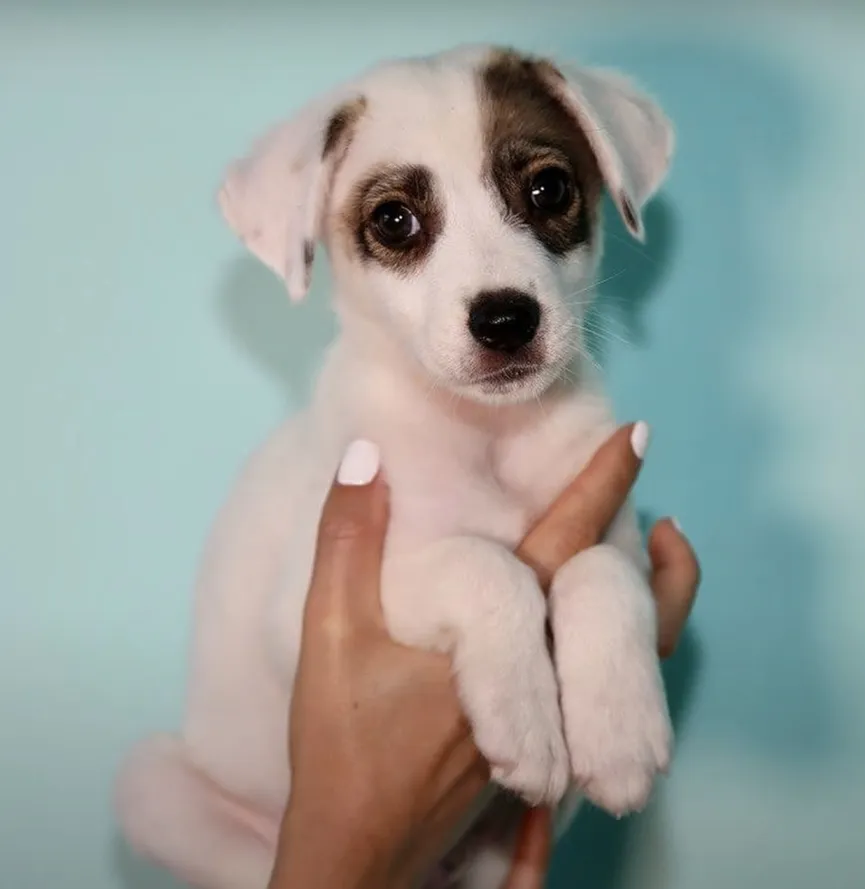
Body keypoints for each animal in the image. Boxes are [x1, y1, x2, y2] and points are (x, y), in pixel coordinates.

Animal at [113, 43, 676, 888]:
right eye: (394, 219)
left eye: (548, 187)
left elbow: (600, 573)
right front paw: (526, 718)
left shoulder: (611, 525)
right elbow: (486, 564)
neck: (487, 434)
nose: (505, 320)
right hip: (152, 786)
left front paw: (619, 728)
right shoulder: (308, 606)